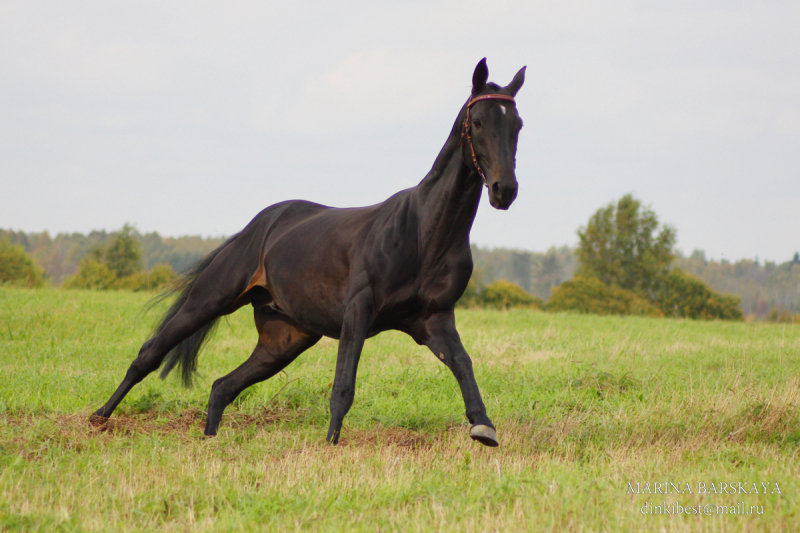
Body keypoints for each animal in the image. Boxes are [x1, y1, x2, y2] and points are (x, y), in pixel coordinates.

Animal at [90, 59, 524, 444]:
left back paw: (208, 440)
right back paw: (98, 418)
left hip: (284, 339)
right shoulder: (358, 312)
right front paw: (330, 445)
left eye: (517, 124)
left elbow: (464, 365)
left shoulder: (434, 319)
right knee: (149, 354)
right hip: (211, 299)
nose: (504, 190)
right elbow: (343, 387)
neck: (422, 234)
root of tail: (259, 226)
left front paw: (483, 428)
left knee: (222, 386)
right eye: (478, 121)